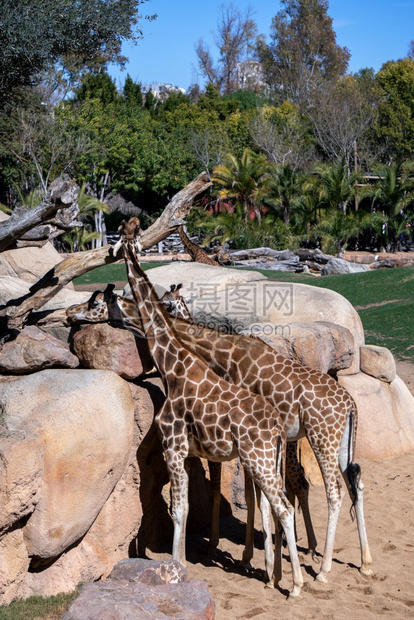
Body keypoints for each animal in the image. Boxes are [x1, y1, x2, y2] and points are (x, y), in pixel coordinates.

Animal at [116, 217, 304, 596]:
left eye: (123, 235)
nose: (116, 248)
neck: (172, 366)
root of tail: (278, 428)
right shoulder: (190, 452)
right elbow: (192, 505)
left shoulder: (173, 446)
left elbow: (178, 508)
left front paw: (177, 568)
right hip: (269, 459)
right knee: (279, 503)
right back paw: (274, 576)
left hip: (259, 459)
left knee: (284, 507)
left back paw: (294, 585)